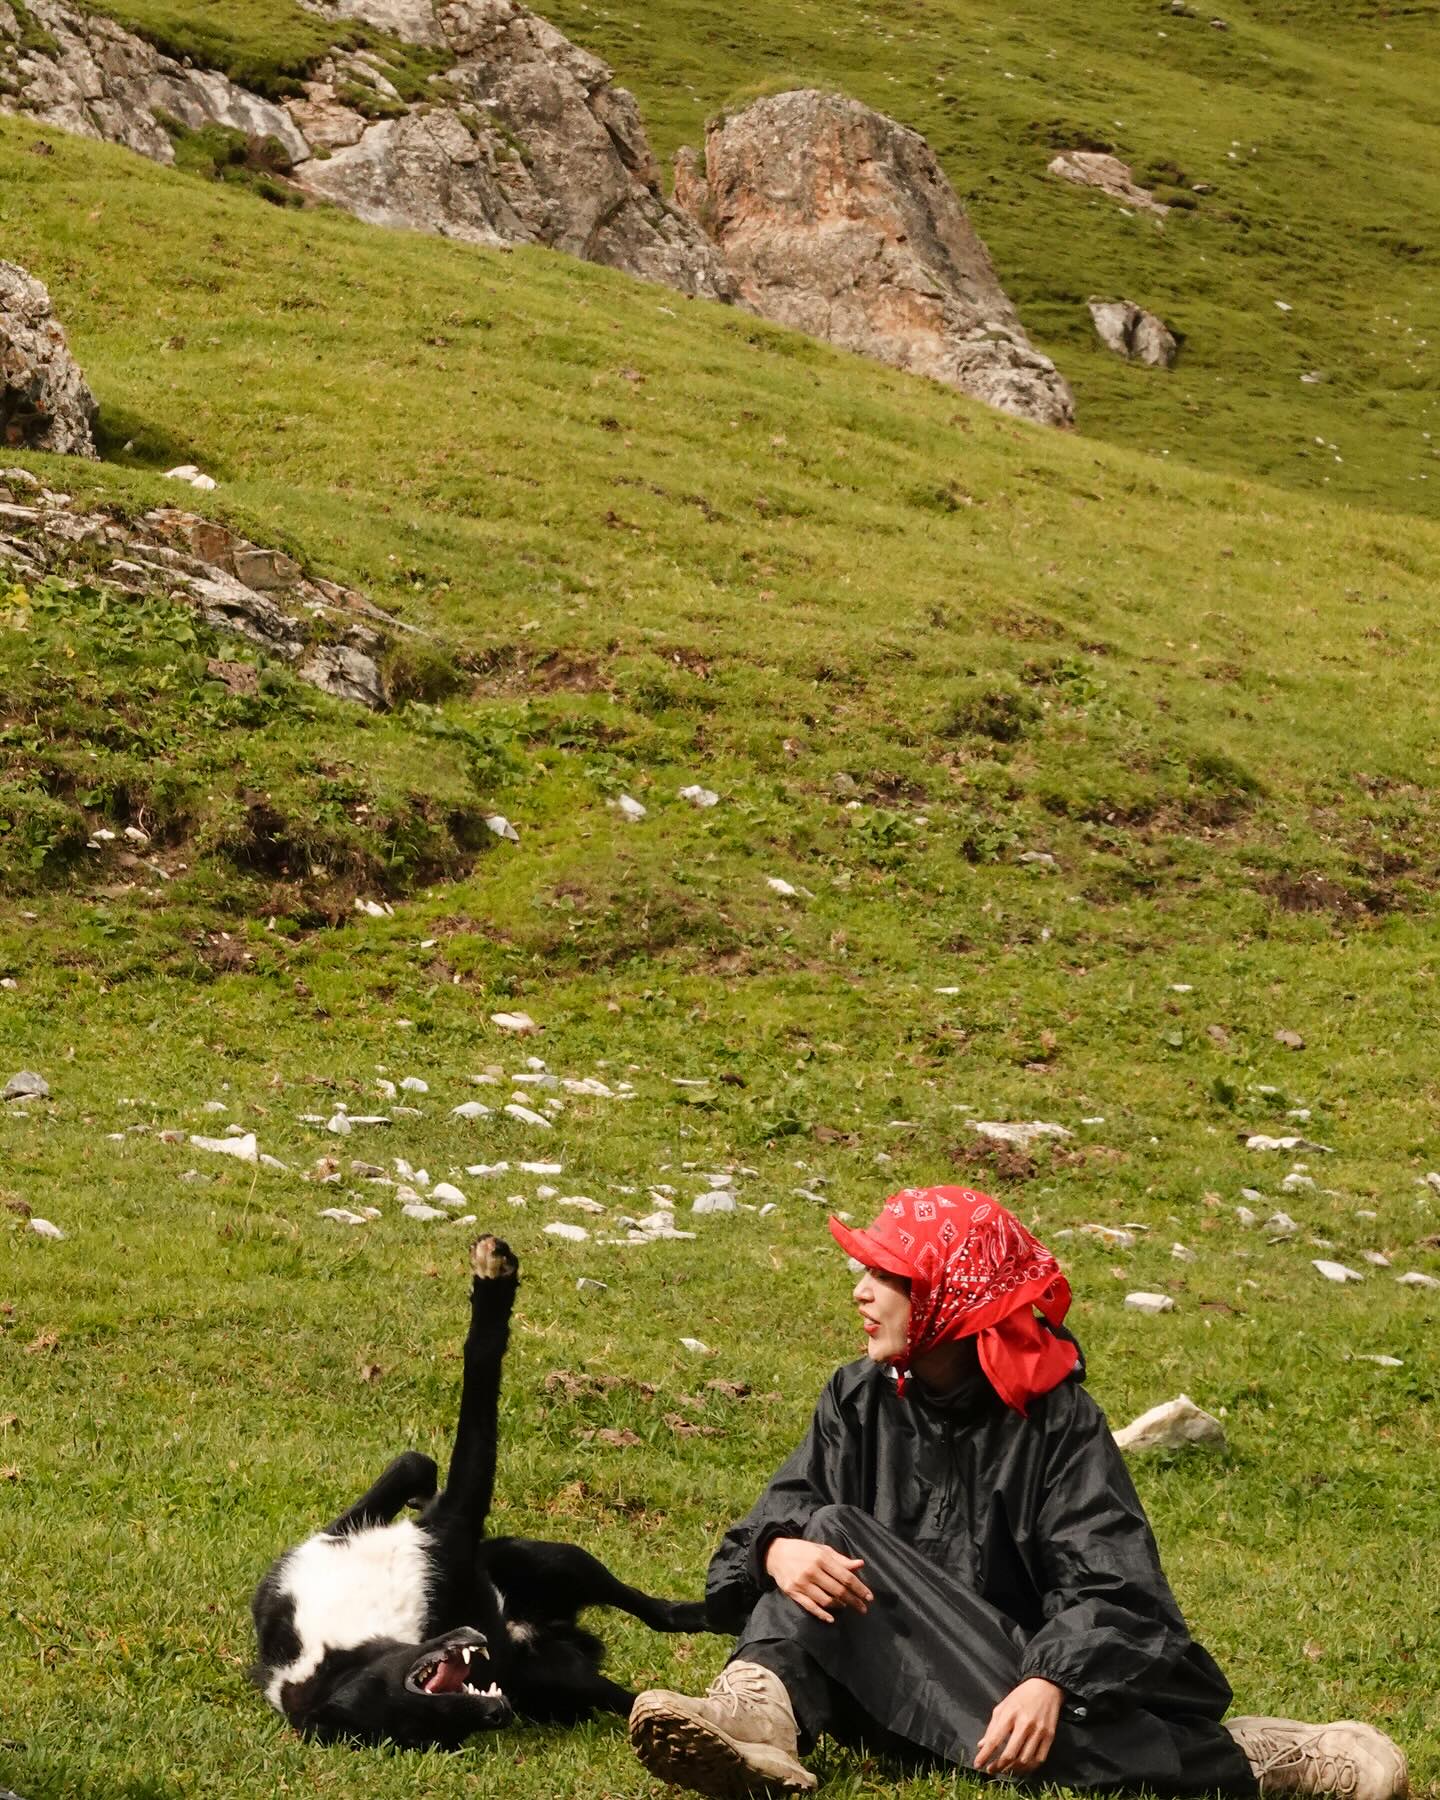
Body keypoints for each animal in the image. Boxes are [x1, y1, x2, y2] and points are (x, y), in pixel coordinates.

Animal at [257, 1231, 709, 1749]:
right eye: (419, 1730)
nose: (498, 1714)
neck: (326, 1647)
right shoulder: (455, 1525)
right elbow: (481, 1369)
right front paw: (494, 1284)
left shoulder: (328, 1548)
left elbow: (413, 1463)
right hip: (562, 1666)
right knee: (634, 1682)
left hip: (547, 1558)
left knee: (646, 1606)